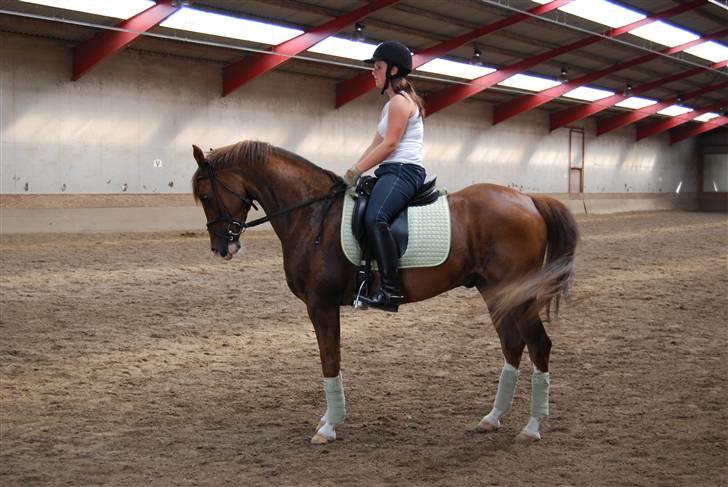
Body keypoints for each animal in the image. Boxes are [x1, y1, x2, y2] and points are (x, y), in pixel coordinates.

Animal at [191, 140, 576, 446]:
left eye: (207, 196)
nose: (221, 248)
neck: (312, 215)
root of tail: (528, 199)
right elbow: (332, 358)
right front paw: (329, 419)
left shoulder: (321, 304)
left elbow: (329, 360)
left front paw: (329, 426)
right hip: (495, 291)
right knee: (512, 344)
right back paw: (493, 418)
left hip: (519, 295)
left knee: (539, 344)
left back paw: (532, 427)